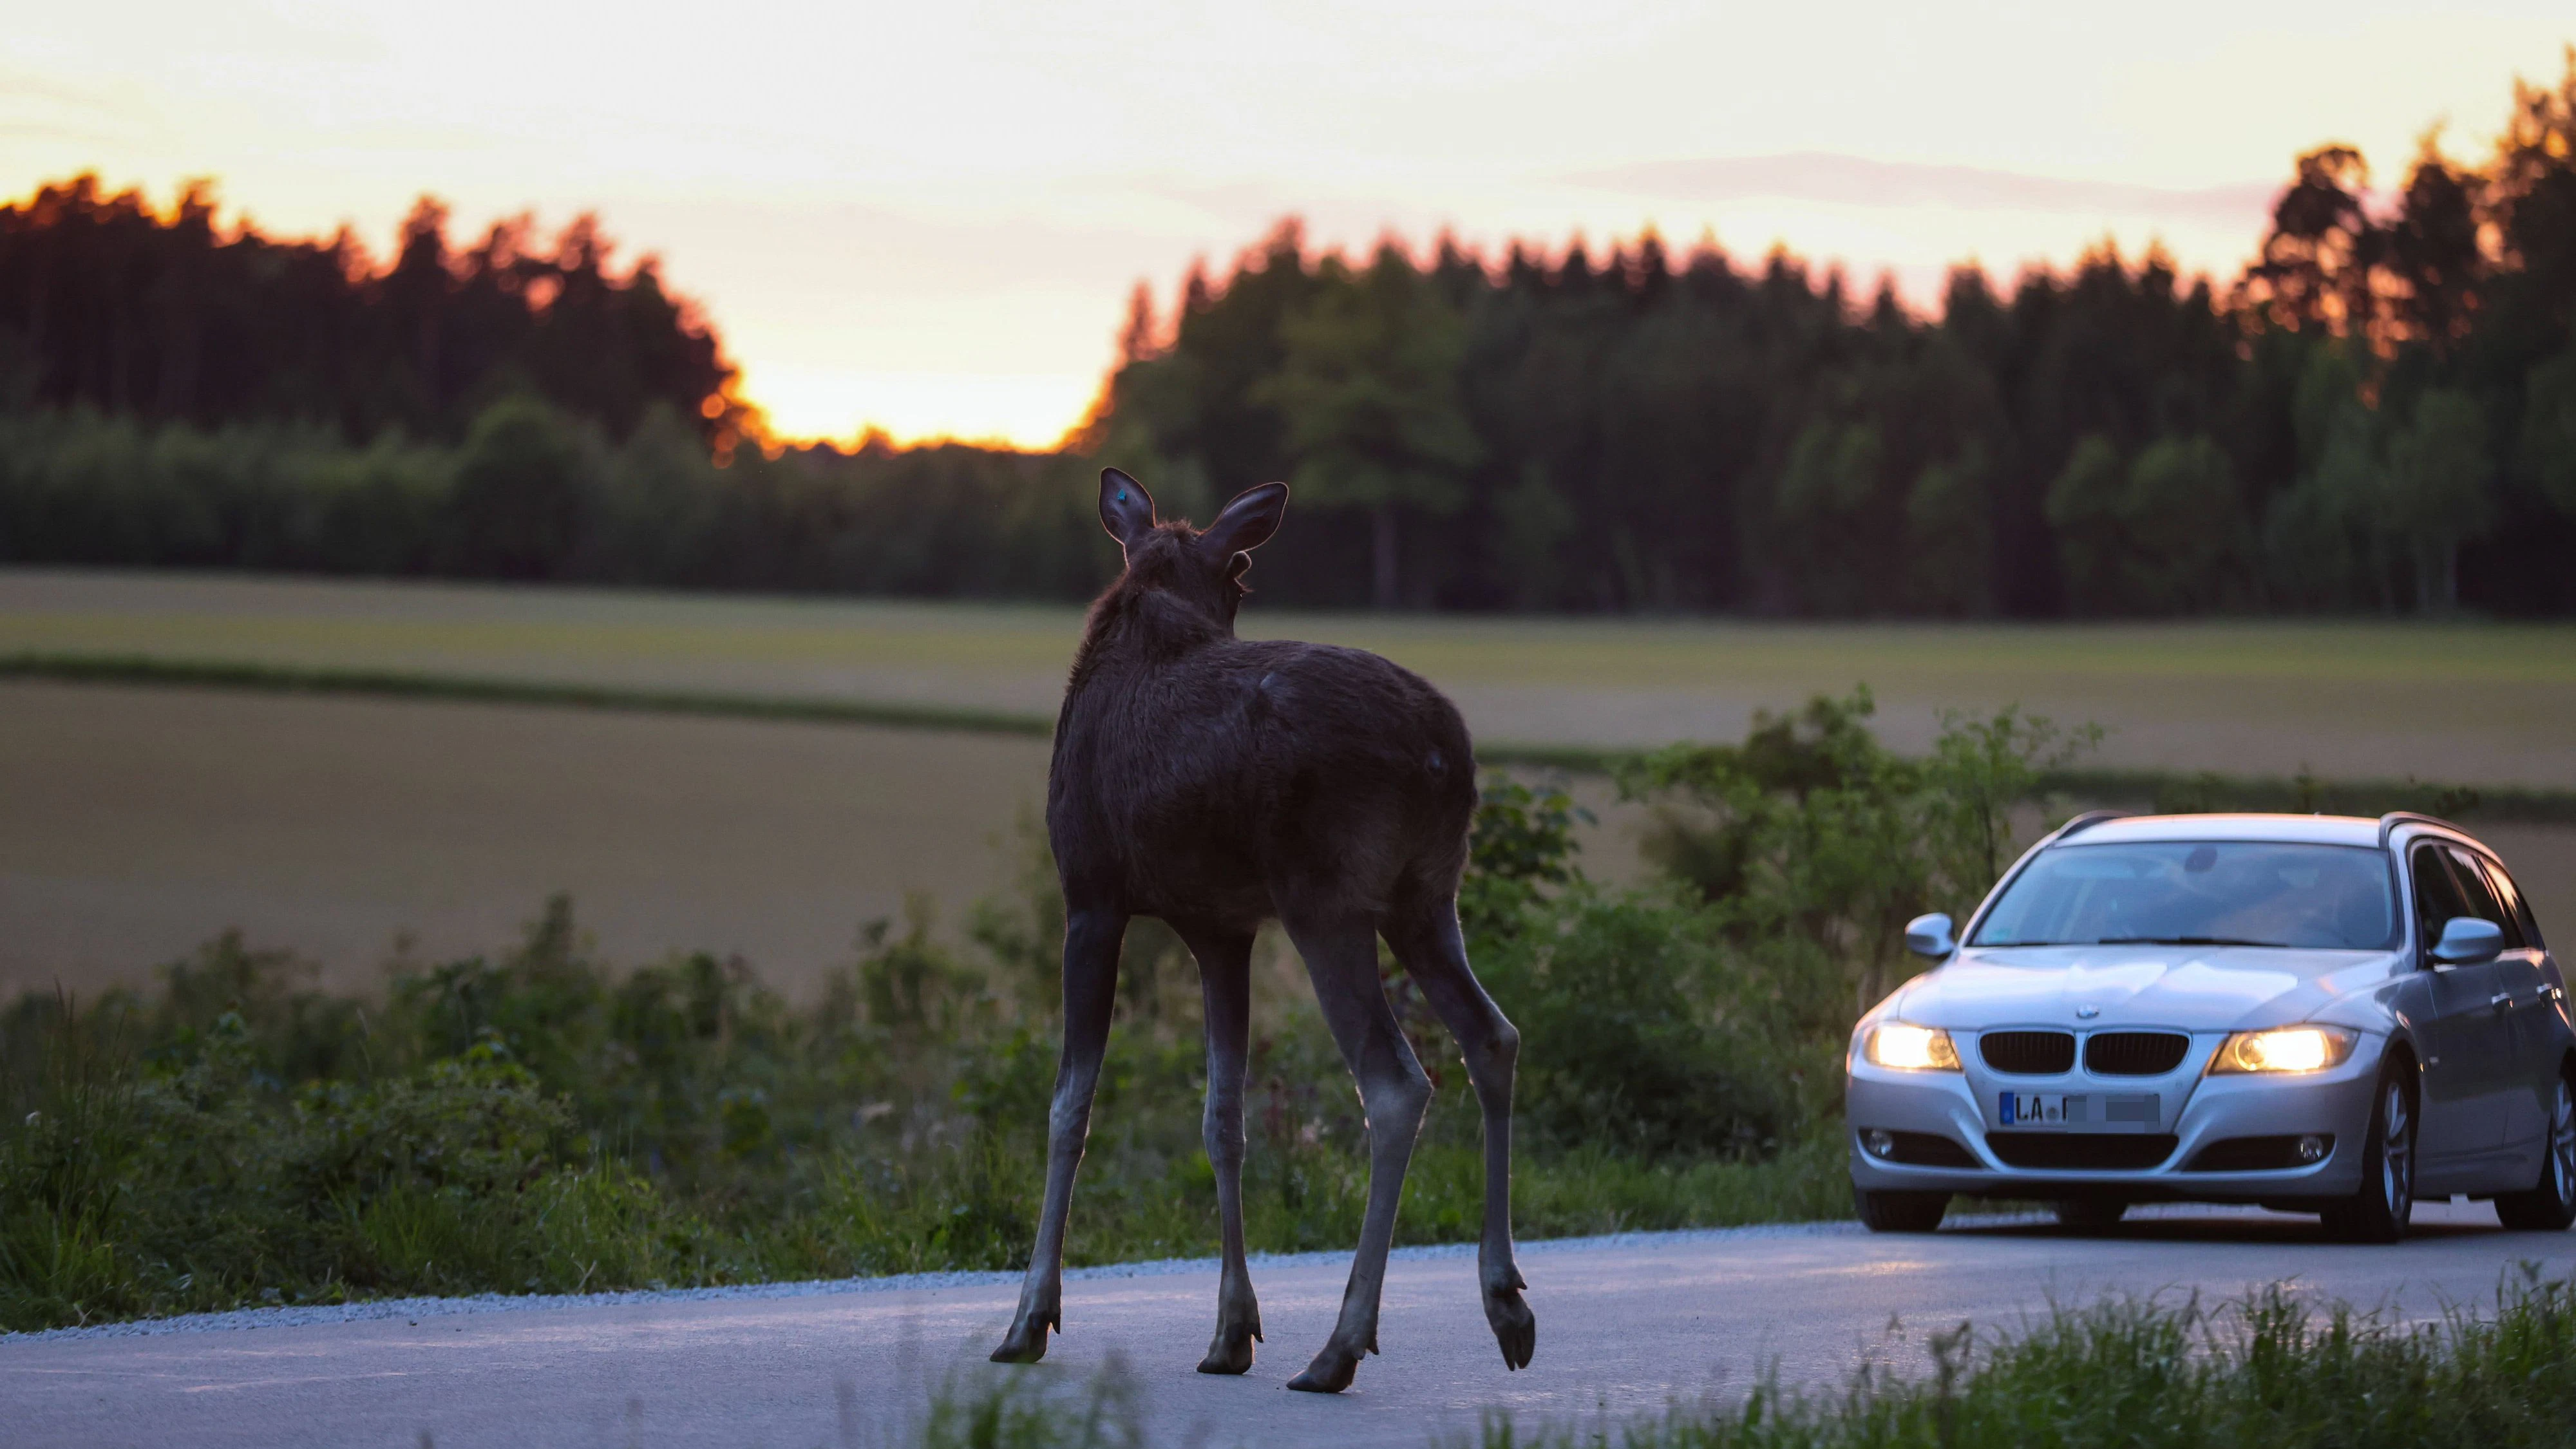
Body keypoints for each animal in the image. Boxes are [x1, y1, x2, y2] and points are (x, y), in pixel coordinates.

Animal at [987, 468, 1535, 1394]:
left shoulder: (1091, 895)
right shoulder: (1222, 927)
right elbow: (1224, 1117)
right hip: (1425, 897)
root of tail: (1447, 758)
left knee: (1396, 1081)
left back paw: (1341, 1344)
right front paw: (1231, 1331)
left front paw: (1029, 1318)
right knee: (1490, 1034)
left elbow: (1070, 1105)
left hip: (1328, 900)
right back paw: (1506, 1304)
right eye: (1238, 573)